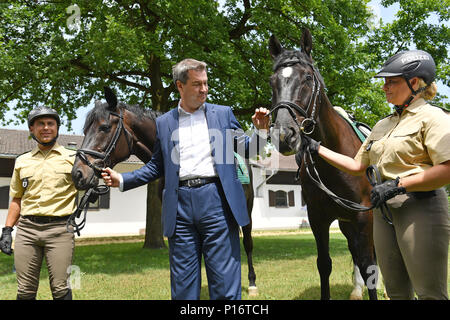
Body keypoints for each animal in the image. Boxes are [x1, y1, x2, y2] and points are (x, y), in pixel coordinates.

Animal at [268, 30, 378, 300]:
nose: (284, 135)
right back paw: (356, 289)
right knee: (355, 253)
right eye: (272, 81)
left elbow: (369, 264)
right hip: (346, 224)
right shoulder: (318, 219)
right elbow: (324, 264)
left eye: (307, 78)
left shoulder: (364, 217)